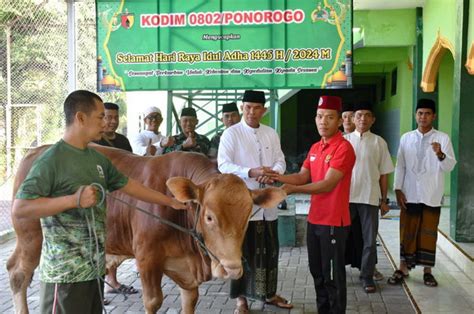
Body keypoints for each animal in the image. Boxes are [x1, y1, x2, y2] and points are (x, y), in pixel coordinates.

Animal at [6, 146, 286, 312]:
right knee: (18, 272)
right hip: (31, 235)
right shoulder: (147, 258)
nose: (232, 268)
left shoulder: (186, 271)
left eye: (247, 215)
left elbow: (190, 299)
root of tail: (34, 152)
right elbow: (153, 301)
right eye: (209, 217)